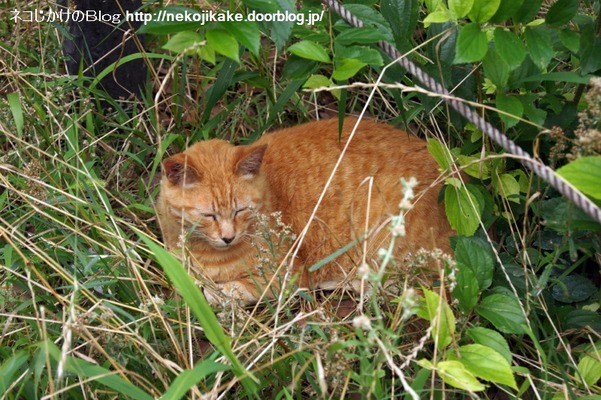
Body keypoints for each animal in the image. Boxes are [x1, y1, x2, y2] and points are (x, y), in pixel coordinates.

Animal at [155, 117, 454, 304]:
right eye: (208, 215)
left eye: (241, 210)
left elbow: (233, 291)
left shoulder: (286, 275)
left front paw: (215, 293)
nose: (228, 237)